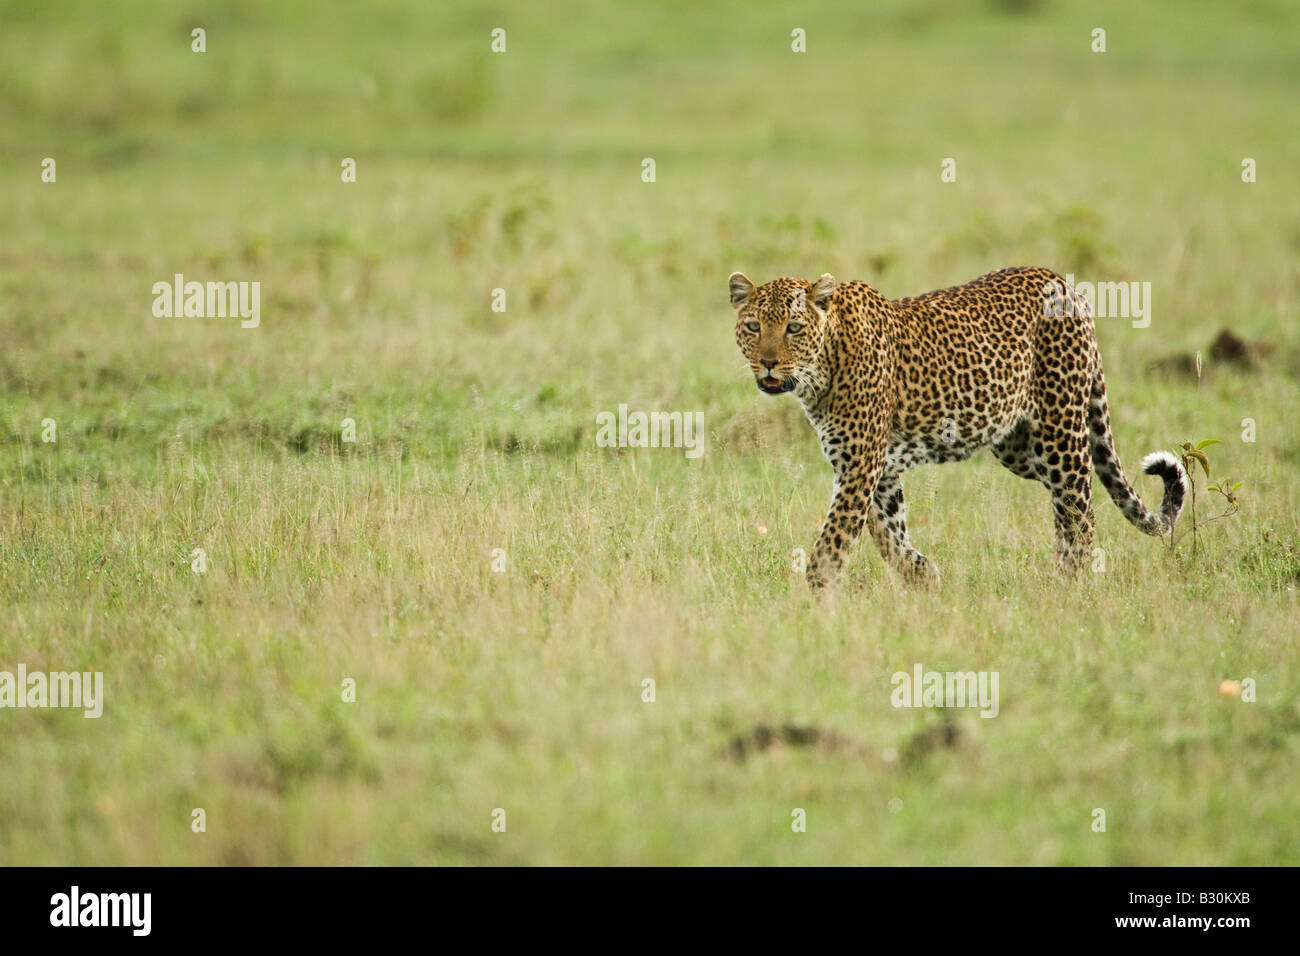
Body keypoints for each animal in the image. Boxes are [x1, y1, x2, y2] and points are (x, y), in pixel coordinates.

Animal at [728, 266, 1188, 590]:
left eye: (794, 328)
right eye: (753, 327)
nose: (767, 363)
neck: (821, 372)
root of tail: (1064, 283)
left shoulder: (862, 464)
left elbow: (835, 537)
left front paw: (816, 600)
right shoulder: (870, 467)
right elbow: (886, 531)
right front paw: (923, 576)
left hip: (1060, 432)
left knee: (1081, 510)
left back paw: (1066, 586)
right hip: (1019, 447)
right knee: (1066, 503)